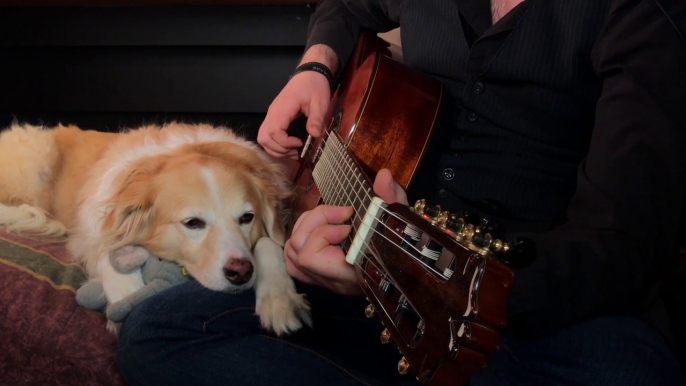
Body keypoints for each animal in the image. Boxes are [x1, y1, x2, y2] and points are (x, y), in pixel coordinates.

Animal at [0, 122, 312, 336]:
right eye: (193, 223)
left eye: (247, 218)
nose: (241, 273)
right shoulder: (91, 228)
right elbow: (108, 248)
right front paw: (125, 300)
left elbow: (269, 243)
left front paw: (279, 299)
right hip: (38, 158)